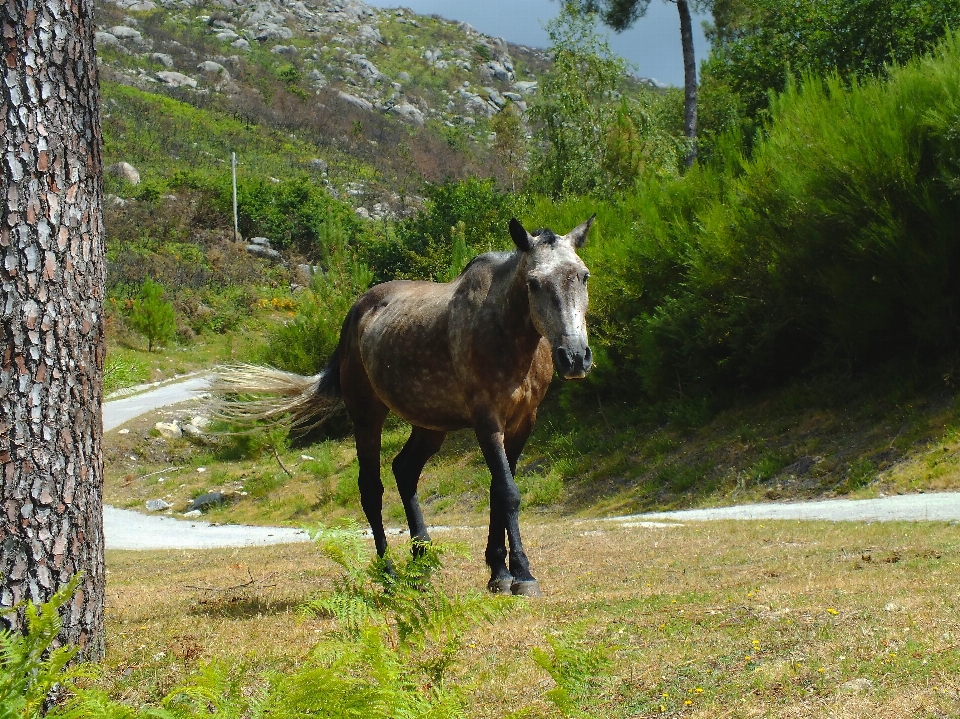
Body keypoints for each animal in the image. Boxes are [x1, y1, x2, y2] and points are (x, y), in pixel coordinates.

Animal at [212, 215, 592, 596]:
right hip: (366, 416)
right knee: (371, 489)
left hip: (429, 424)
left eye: (583, 275)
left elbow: (499, 491)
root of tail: (355, 314)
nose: (575, 357)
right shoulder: (487, 422)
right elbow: (507, 492)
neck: (505, 333)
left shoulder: (523, 422)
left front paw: (500, 571)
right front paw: (521, 574)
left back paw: (421, 561)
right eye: (533, 282)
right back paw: (389, 572)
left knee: (404, 470)